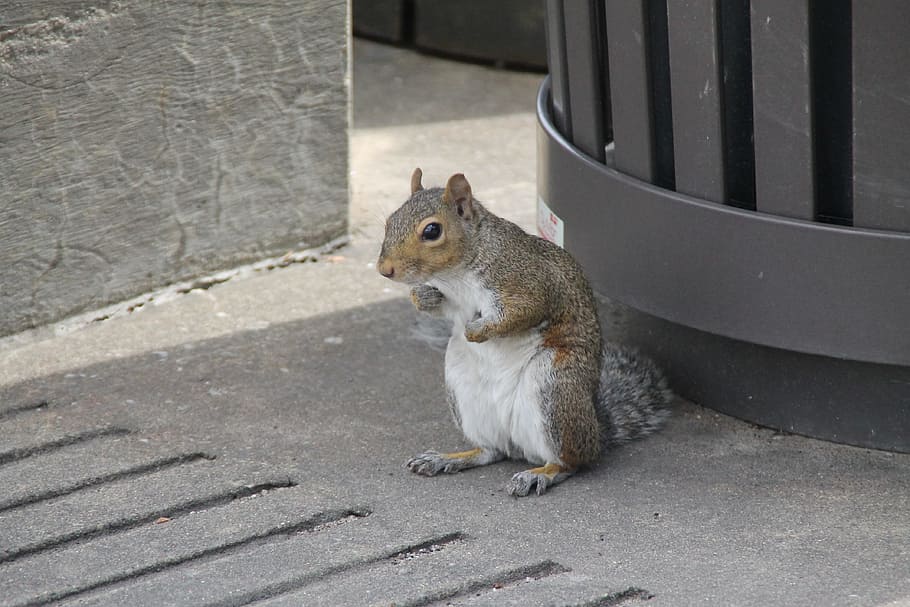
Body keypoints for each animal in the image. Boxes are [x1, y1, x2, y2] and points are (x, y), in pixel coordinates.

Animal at [377, 169, 672, 496]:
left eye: (431, 231)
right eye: (390, 220)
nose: (384, 270)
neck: (456, 273)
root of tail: (596, 432)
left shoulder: (528, 282)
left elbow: (523, 312)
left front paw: (478, 330)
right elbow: (439, 307)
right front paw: (423, 297)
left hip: (555, 387)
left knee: (571, 462)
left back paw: (540, 474)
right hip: (462, 386)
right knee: (490, 451)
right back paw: (448, 458)